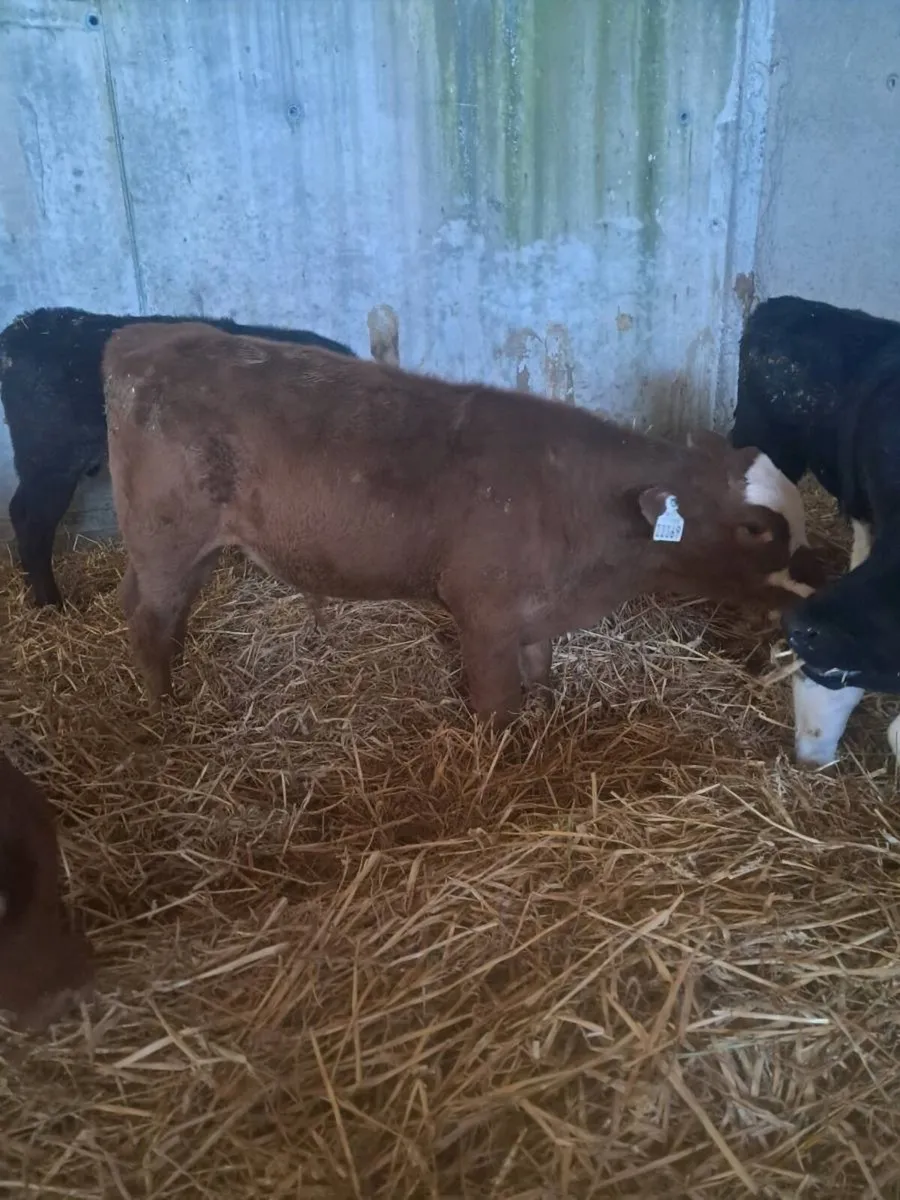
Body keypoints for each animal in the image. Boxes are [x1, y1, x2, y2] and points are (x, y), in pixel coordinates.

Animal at [101, 320, 821, 727]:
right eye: (756, 530)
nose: (812, 593)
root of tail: (143, 338)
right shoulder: (485, 615)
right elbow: (497, 707)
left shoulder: (535, 611)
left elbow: (541, 669)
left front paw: (549, 716)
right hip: (166, 537)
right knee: (146, 618)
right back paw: (163, 712)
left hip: (186, 548)